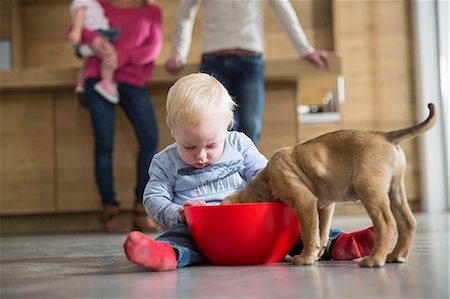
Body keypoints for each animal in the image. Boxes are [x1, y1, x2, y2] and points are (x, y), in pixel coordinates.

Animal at [223, 104, 438, 268]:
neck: (267, 179)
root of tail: (385, 136)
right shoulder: (324, 206)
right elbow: (321, 231)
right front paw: (316, 254)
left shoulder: (304, 202)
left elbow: (309, 232)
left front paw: (305, 258)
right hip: (395, 191)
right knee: (408, 223)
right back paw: (397, 256)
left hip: (368, 188)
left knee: (387, 224)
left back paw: (374, 260)